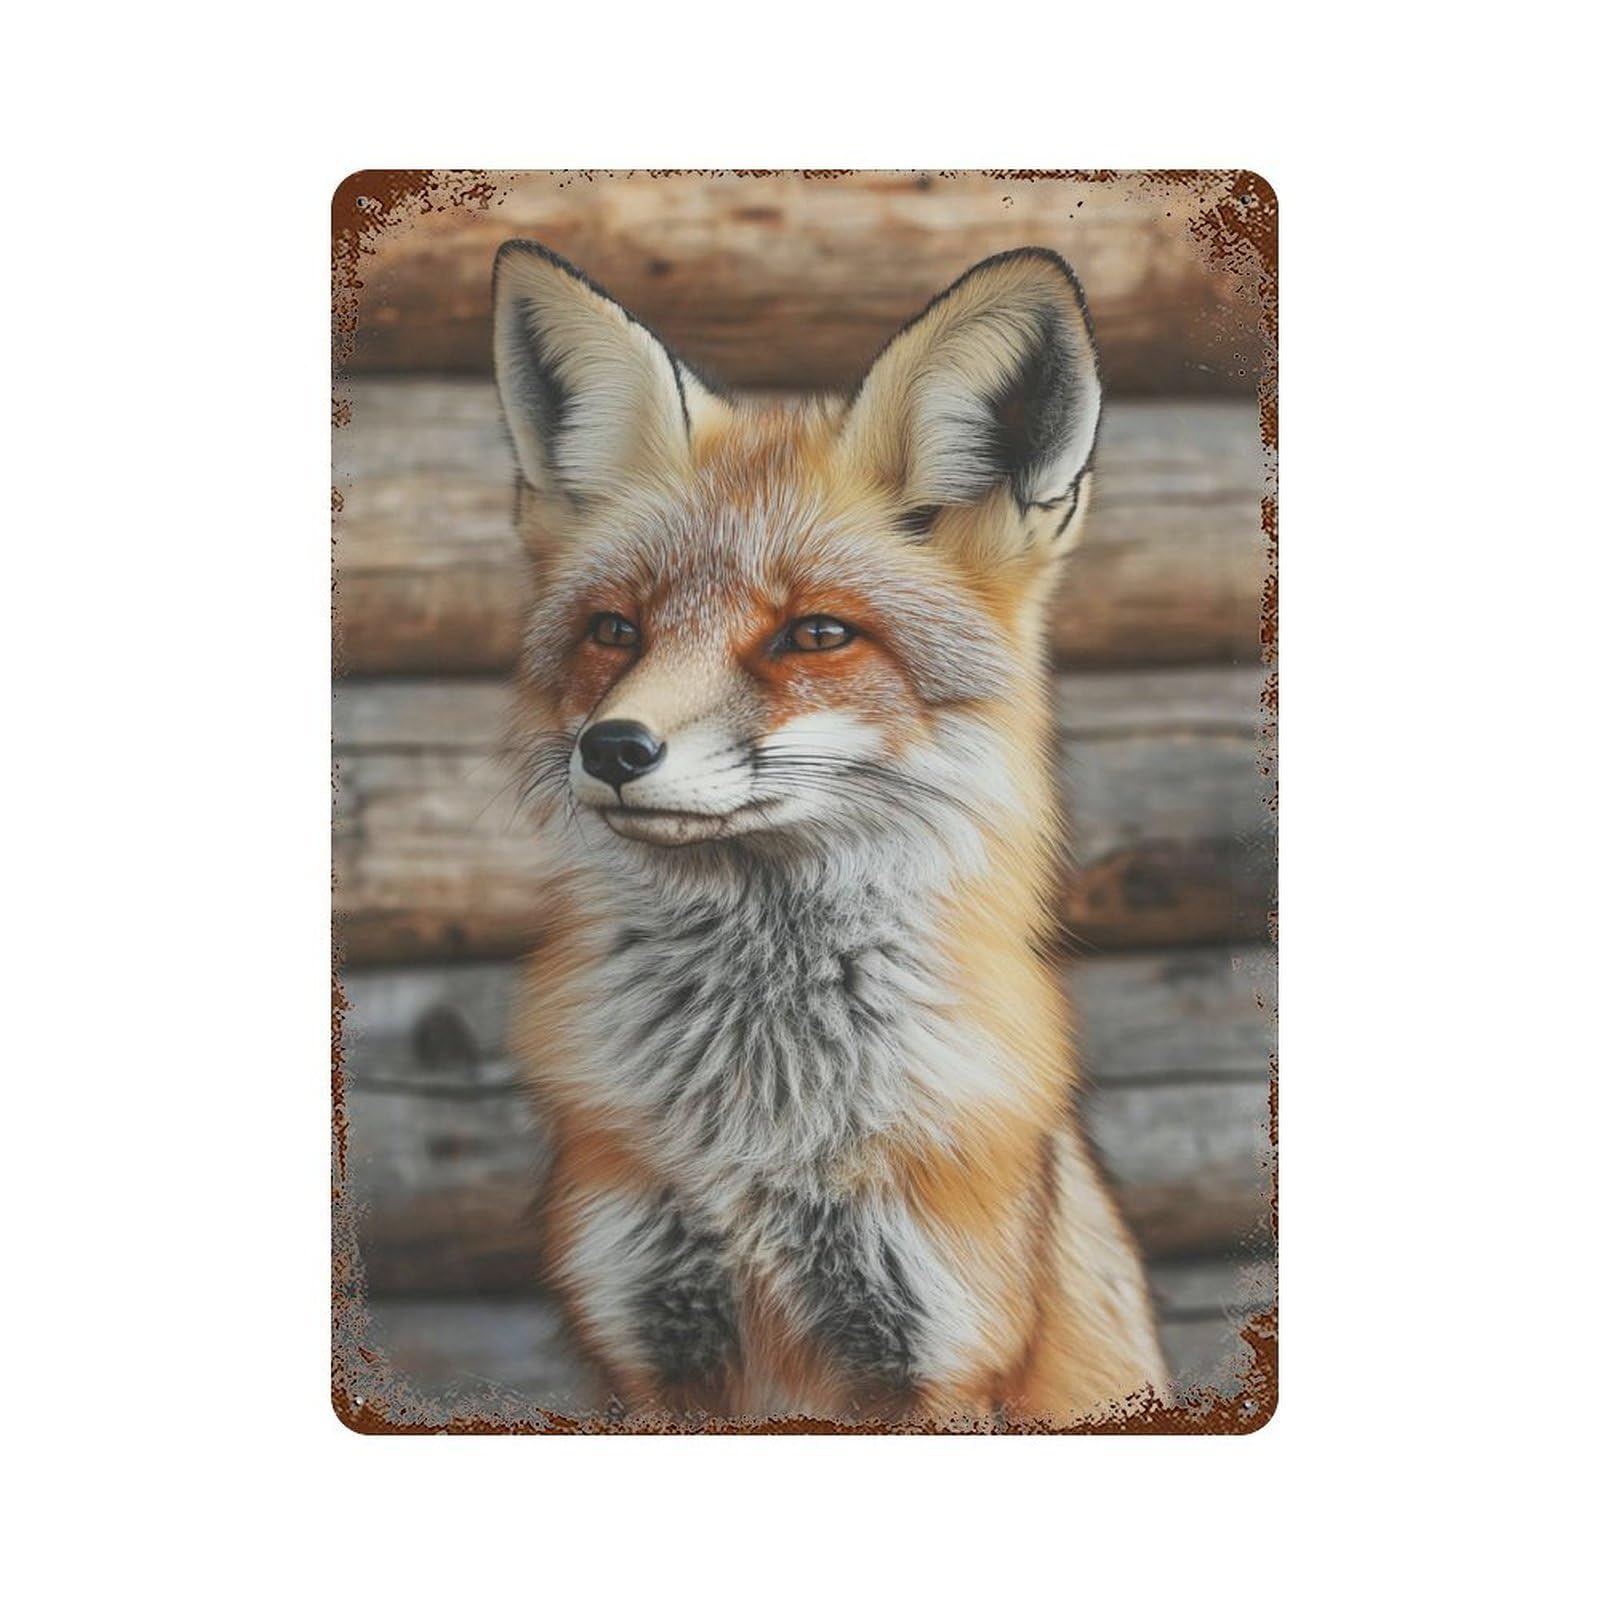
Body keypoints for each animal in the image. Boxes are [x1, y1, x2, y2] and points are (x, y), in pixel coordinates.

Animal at [492, 239, 1169, 1427]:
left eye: (813, 635)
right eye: (615, 630)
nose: (613, 748)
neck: (761, 1138)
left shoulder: (939, 1352)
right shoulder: (650, 1347)